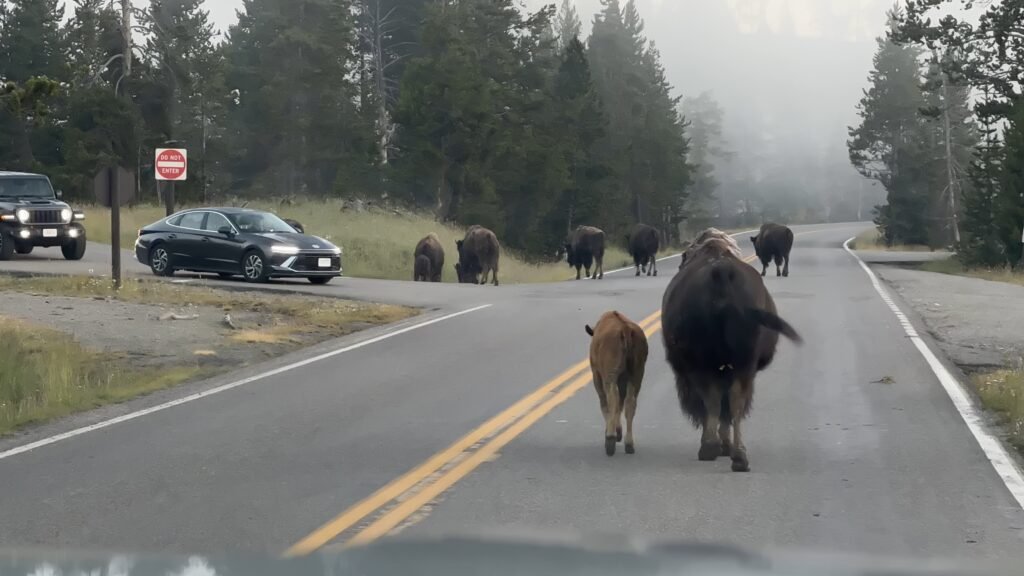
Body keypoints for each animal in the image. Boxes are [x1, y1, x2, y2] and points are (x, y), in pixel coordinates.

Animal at [585, 311, 649, 456]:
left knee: (612, 399)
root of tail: (625, 329)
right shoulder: (625, 379)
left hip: (611, 377)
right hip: (637, 375)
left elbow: (606, 404)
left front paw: (613, 433)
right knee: (630, 404)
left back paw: (610, 440)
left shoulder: (597, 374)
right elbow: (621, 403)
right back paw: (629, 444)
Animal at [662, 237, 801, 472]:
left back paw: (710, 448)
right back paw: (739, 457)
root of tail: (722, 272)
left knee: (714, 400)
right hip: (743, 364)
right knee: (735, 400)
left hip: (706, 364)